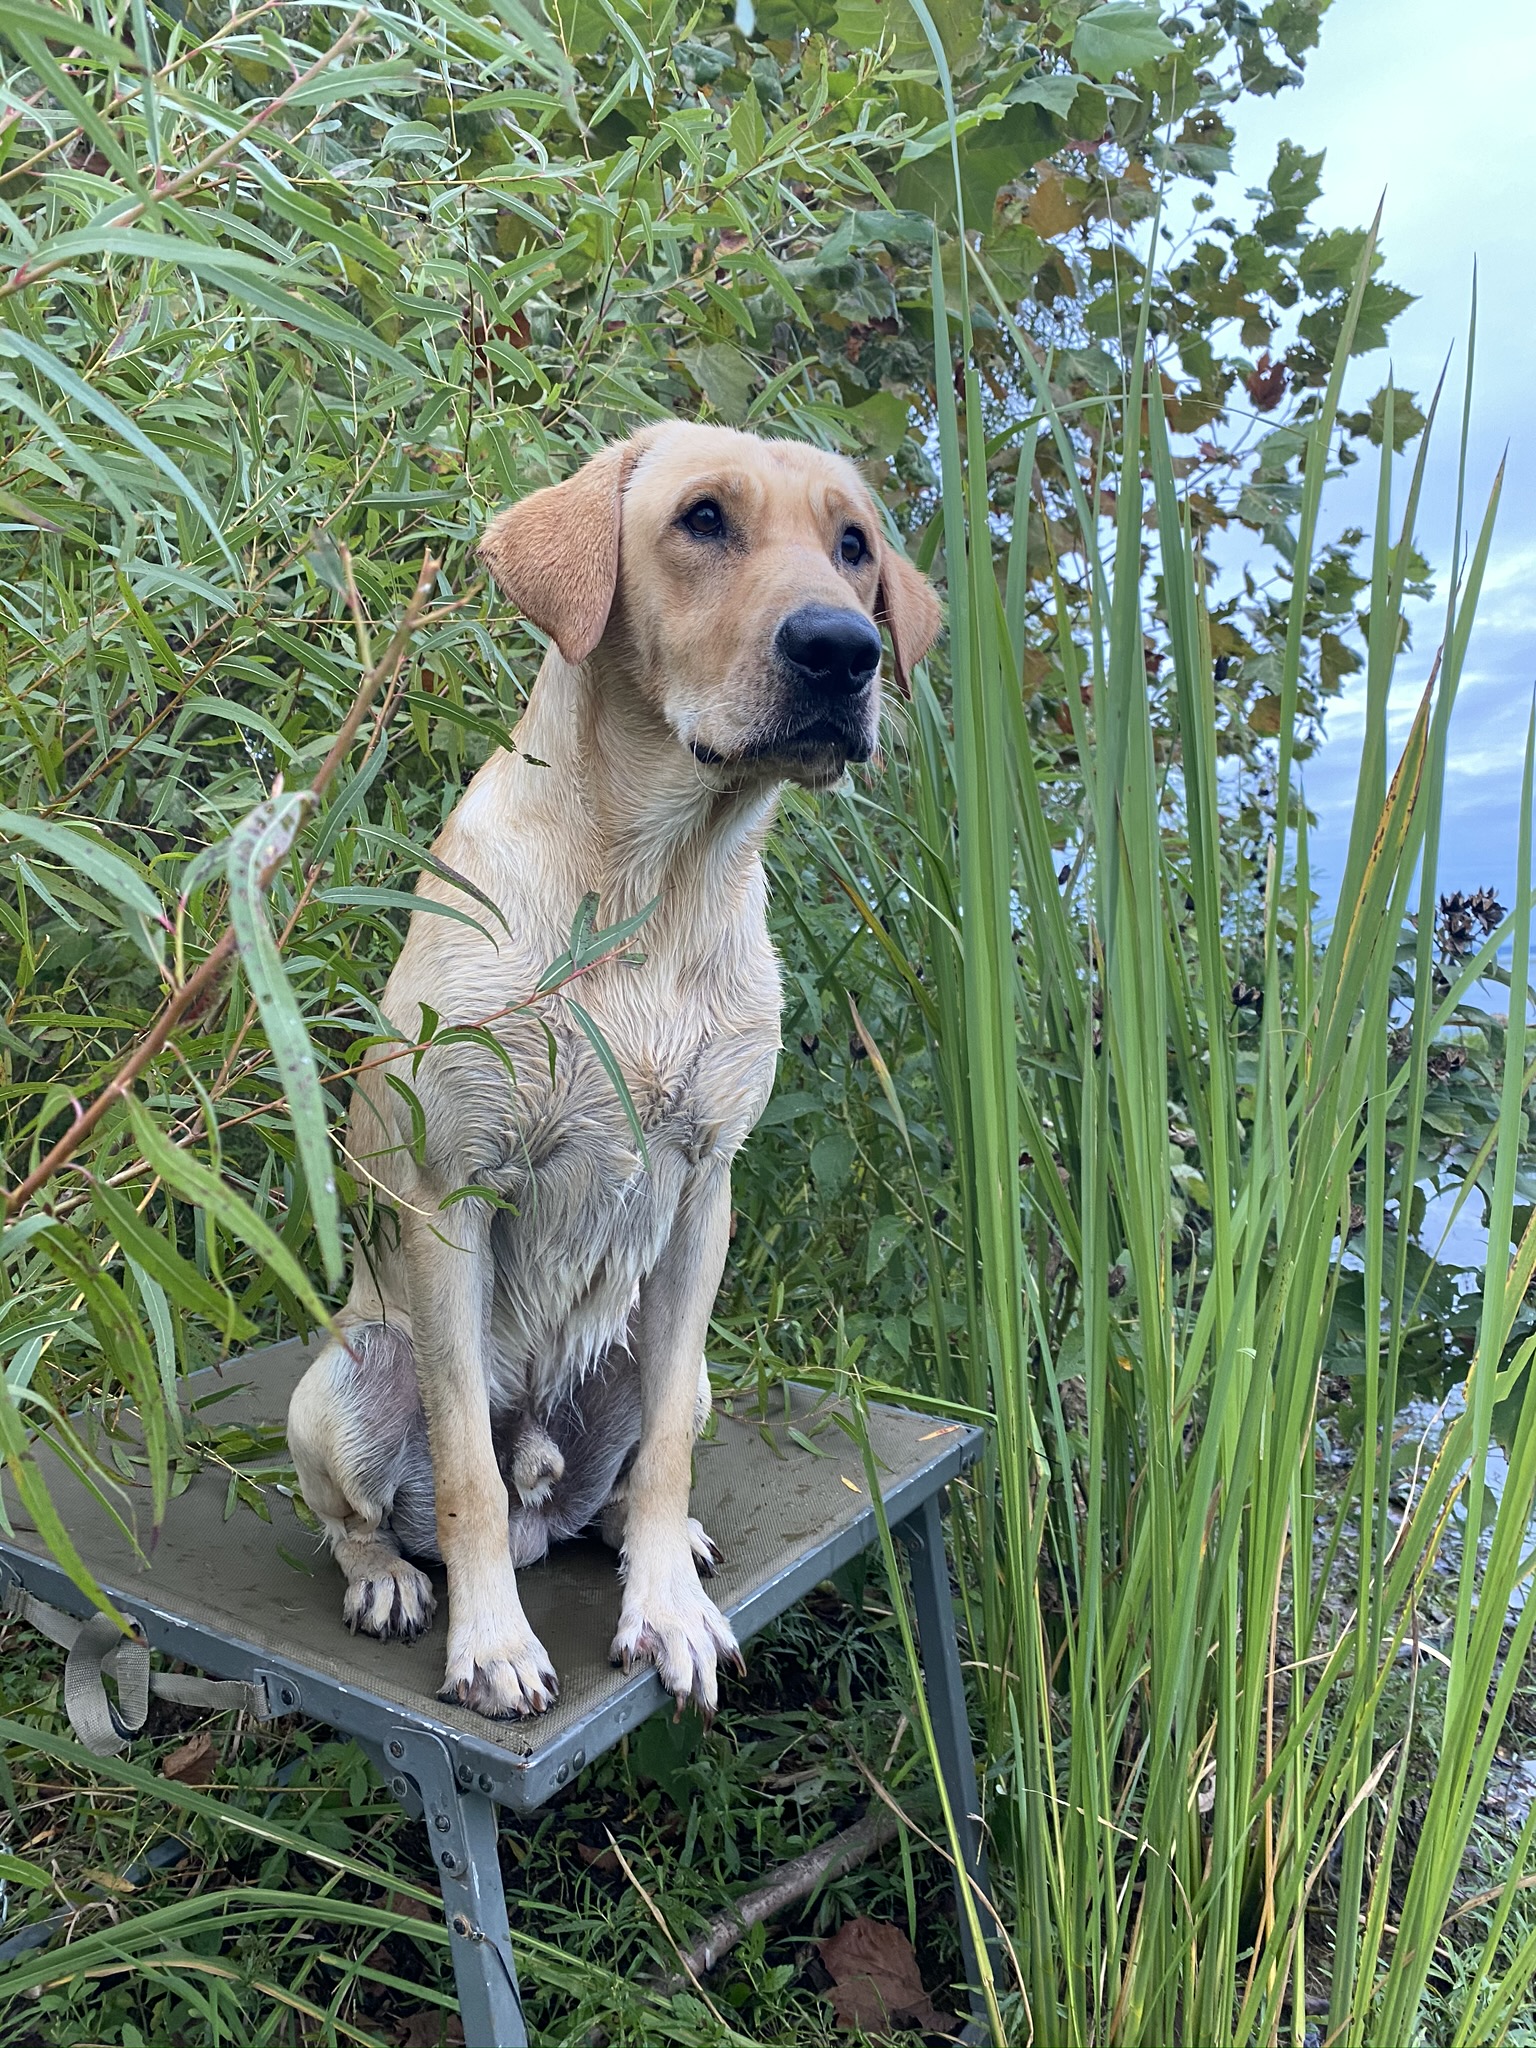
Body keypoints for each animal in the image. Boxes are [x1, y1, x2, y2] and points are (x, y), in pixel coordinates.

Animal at [282, 423, 946, 1720]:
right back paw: (390, 1575)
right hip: (340, 1383)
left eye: (854, 545)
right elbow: (468, 1473)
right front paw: (492, 1642)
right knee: (378, 1513)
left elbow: (671, 1461)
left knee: (629, 1477)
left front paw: (666, 1609)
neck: (658, 883)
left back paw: (659, 1547)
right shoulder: (452, 1198)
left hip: (669, 1357)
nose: (841, 650)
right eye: (703, 519)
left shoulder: (702, 1196)